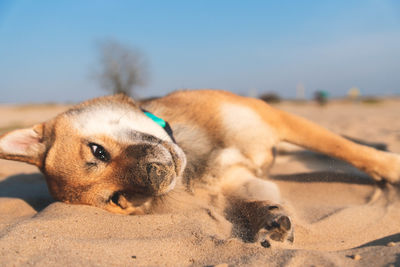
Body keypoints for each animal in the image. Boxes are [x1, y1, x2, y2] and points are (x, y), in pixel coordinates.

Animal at [0, 90, 400, 245]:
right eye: (119, 199)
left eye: (98, 151)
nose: (156, 177)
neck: (195, 154)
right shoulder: (235, 181)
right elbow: (250, 203)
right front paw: (270, 219)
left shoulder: (275, 119)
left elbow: (346, 148)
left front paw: (390, 166)